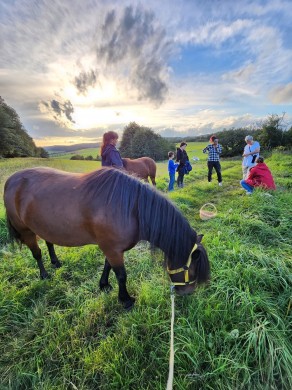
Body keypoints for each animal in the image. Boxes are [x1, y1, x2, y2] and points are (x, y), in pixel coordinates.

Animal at [4, 166, 210, 310]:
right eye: (191, 268)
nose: (187, 292)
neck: (130, 208)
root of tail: (10, 181)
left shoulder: (110, 248)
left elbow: (107, 266)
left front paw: (103, 285)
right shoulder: (113, 249)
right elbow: (121, 275)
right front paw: (126, 300)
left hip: (44, 226)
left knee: (49, 242)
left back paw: (55, 262)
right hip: (26, 231)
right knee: (37, 253)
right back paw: (44, 274)